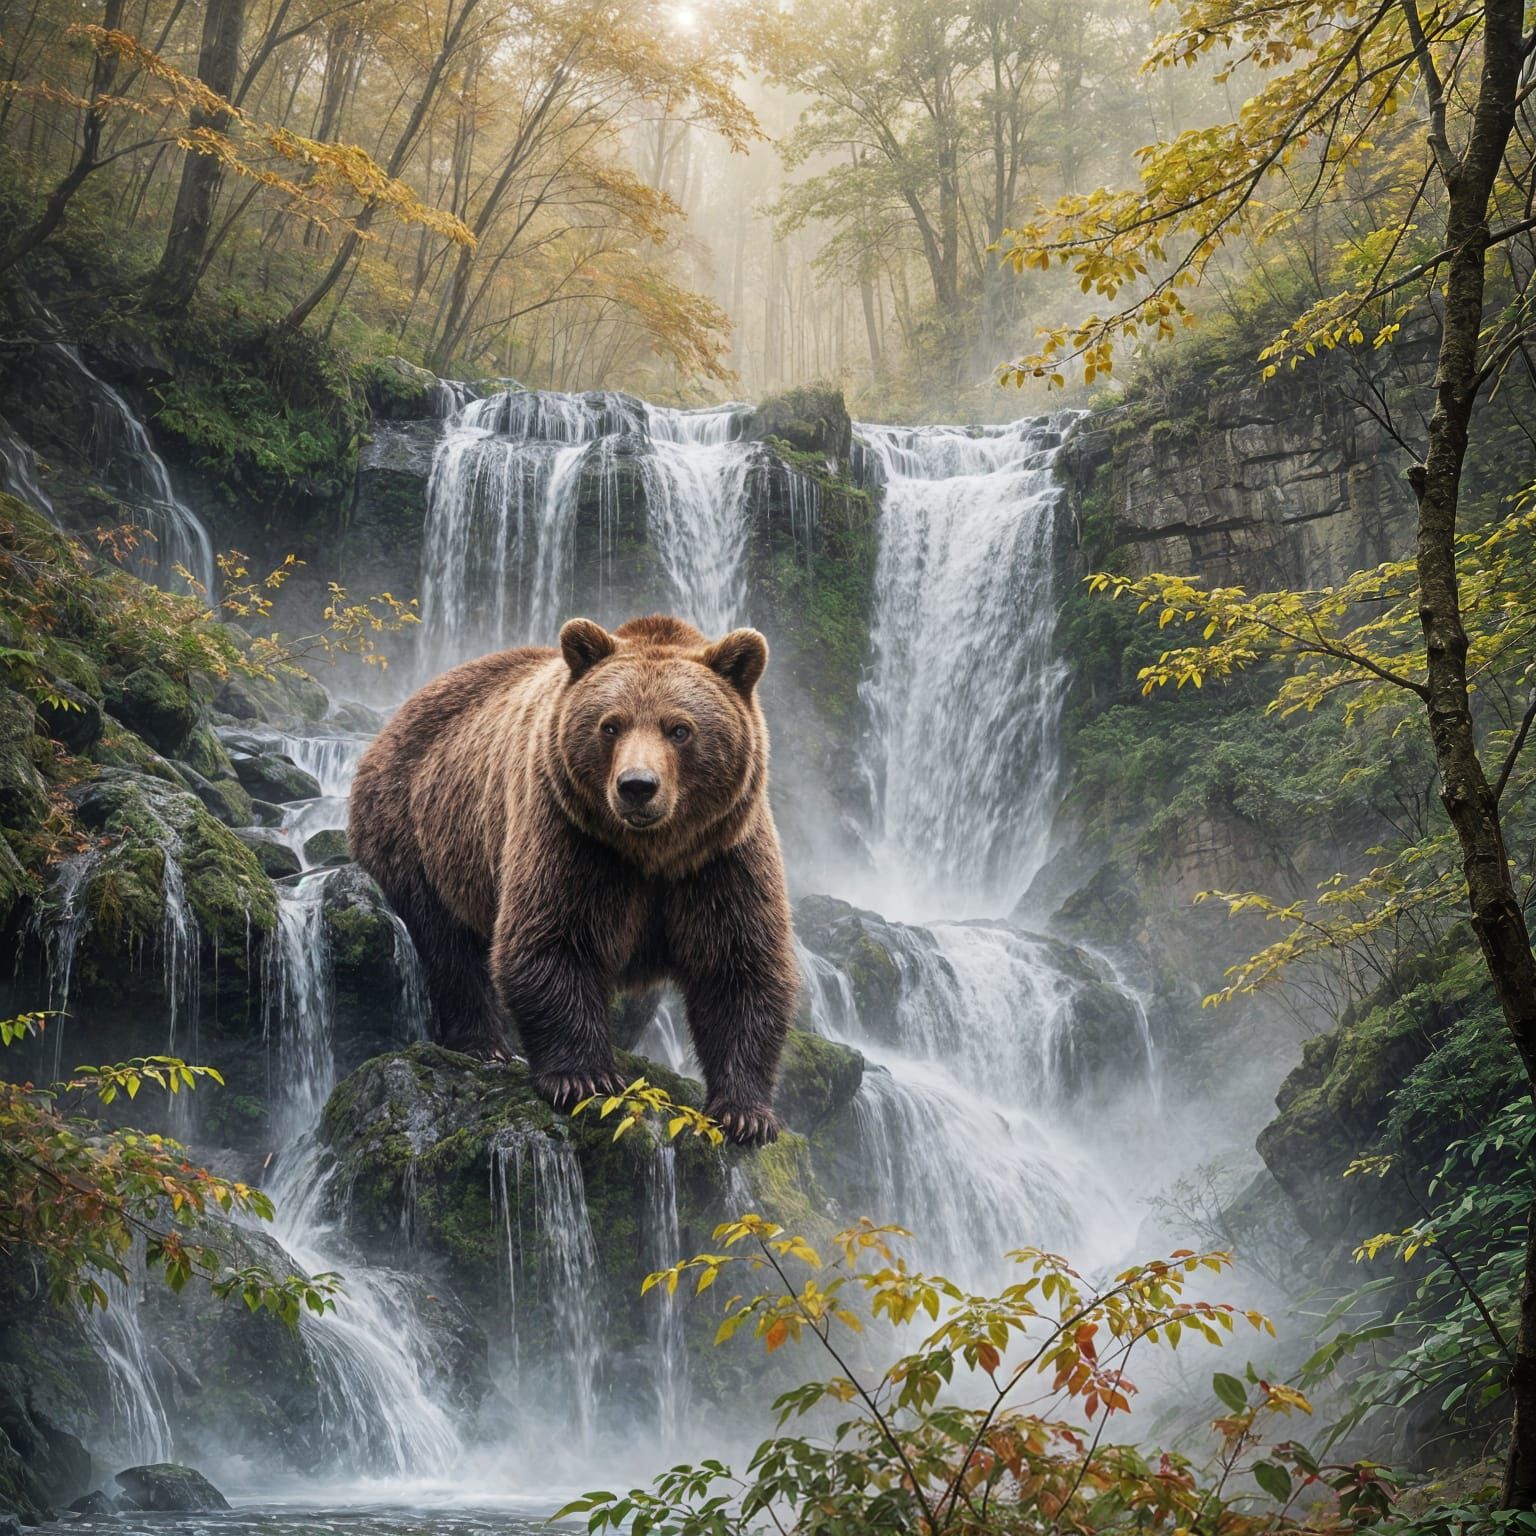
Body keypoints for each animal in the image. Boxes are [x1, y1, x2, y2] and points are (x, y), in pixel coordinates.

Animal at [349, 614, 799, 1145]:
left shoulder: (720, 856)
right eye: (611, 724)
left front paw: (746, 1114)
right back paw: (484, 1043)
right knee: (447, 943)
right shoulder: (572, 836)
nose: (637, 786)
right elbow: (553, 940)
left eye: (680, 729)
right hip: (422, 834)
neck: (653, 851)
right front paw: (584, 1077)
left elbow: (738, 966)